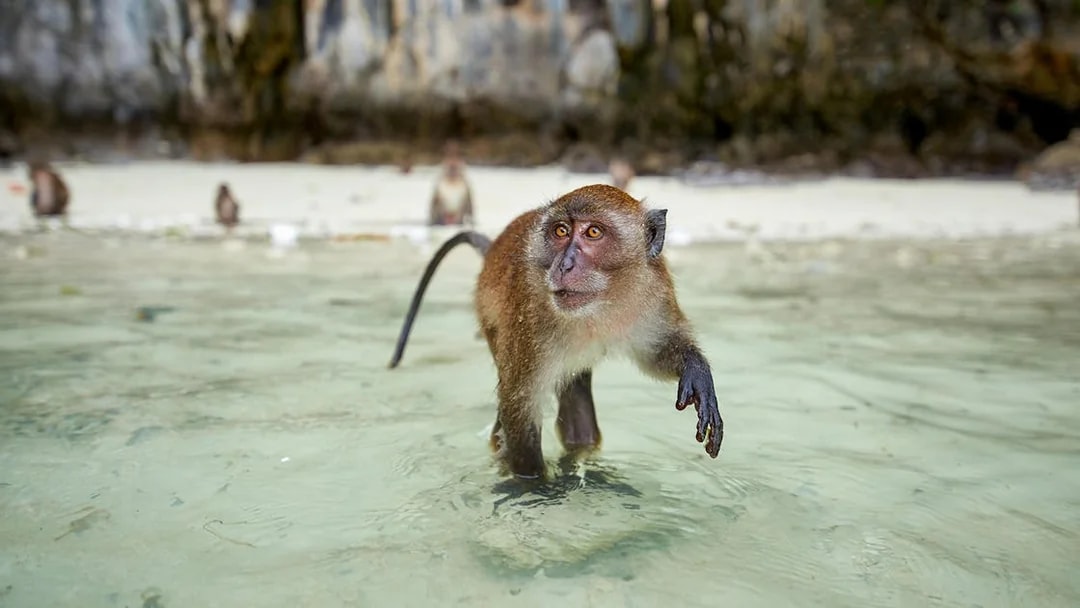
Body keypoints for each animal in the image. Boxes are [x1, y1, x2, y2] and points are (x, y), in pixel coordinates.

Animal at [389, 184, 723, 480]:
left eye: (593, 232)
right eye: (560, 231)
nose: (564, 265)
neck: (602, 301)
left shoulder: (655, 291)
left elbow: (655, 352)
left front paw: (695, 369)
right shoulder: (530, 316)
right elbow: (519, 404)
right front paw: (536, 486)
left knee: (576, 398)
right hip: (490, 320)